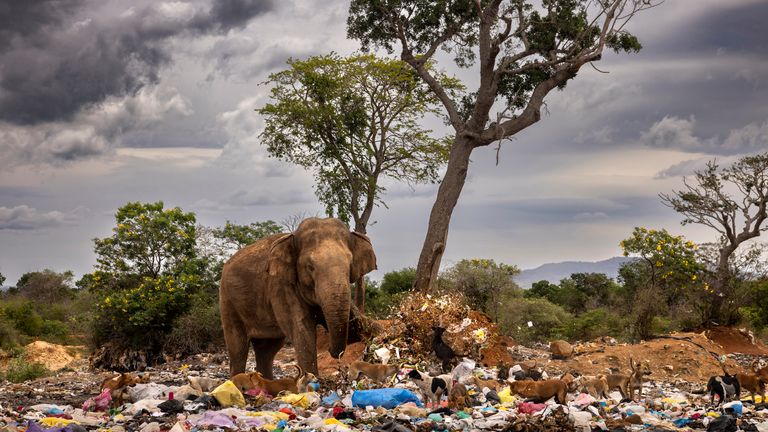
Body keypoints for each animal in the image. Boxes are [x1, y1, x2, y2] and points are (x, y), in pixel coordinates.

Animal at [218, 218, 376, 376]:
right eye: (310, 267)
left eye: (350, 265)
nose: (332, 352)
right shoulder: (281, 286)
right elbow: (303, 330)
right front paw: (311, 379)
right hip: (227, 301)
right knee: (238, 348)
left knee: (267, 349)